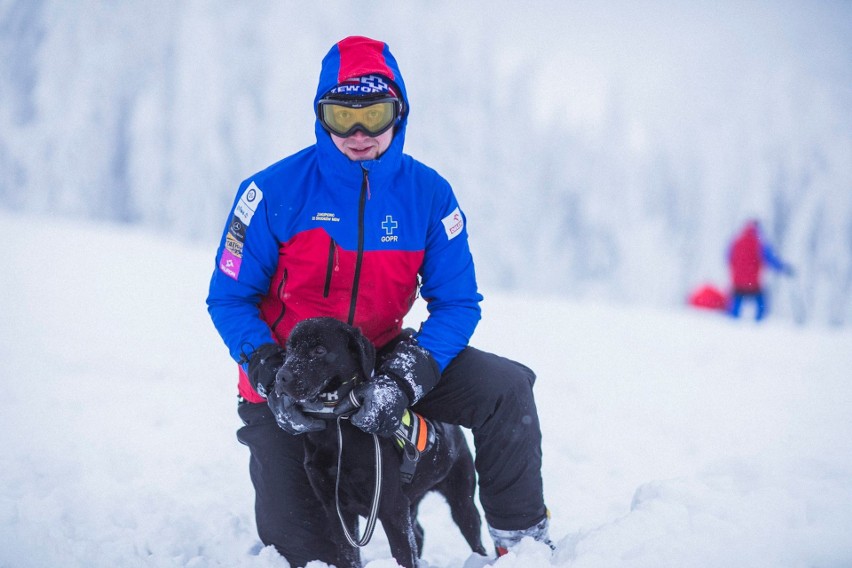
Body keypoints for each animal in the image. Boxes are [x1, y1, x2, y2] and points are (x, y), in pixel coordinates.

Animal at [274, 318, 486, 568]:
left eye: (319, 350)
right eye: (290, 349)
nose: (280, 377)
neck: (336, 428)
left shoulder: (391, 506)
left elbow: (404, 555)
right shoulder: (336, 509)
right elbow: (348, 556)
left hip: (462, 500)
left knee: (474, 537)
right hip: (413, 501)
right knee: (419, 533)